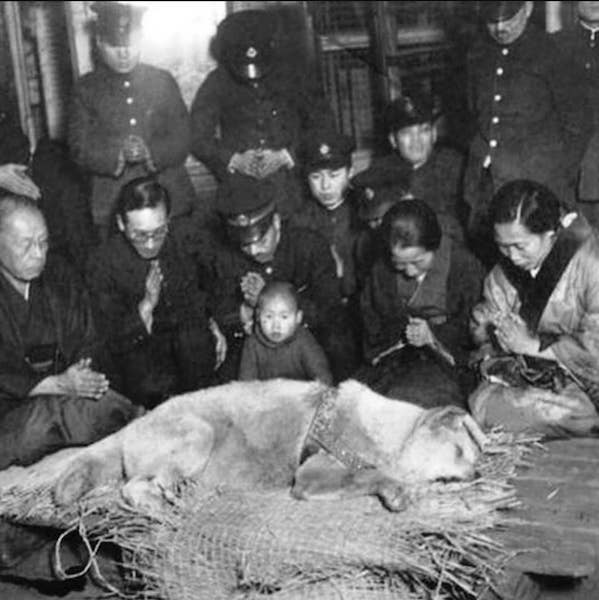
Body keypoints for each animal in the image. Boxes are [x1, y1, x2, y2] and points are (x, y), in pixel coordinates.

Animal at [54, 380, 490, 510]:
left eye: (474, 454)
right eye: (457, 452)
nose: (478, 474)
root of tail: (132, 426)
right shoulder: (312, 477)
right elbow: (369, 475)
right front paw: (396, 490)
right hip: (198, 433)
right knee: (133, 487)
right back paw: (160, 503)